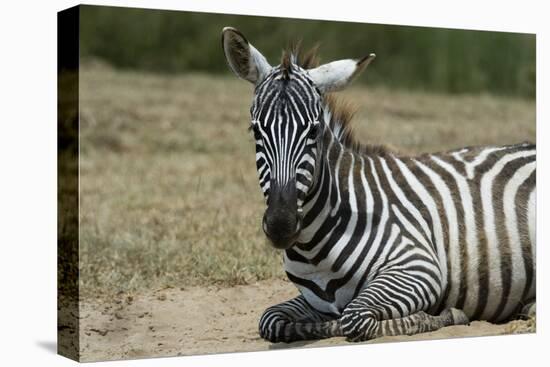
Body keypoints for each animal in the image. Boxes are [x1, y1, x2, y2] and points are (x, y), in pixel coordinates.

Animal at [222, 27, 536, 344]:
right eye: (255, 129)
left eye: (314, 130)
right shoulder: (315, 300)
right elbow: (271, 319)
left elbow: (354, 318)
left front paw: (445, 315)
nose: (280, 225)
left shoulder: (419, 266)